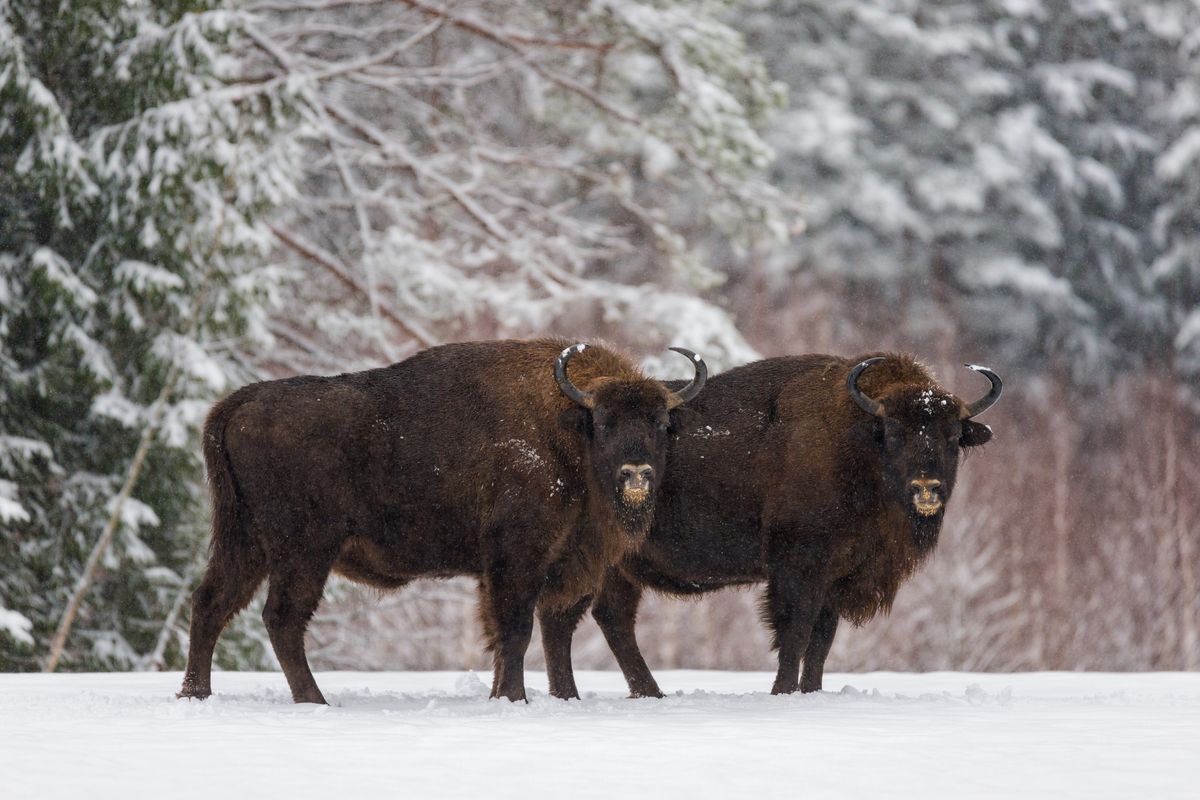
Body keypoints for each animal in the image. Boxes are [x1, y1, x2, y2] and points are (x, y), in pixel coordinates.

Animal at [176, 338, 700, 700]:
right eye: (605, 423)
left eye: (660, 424)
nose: (636, 473)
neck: (567, 427)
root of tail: (236, 405)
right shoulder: (516, 557)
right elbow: (515, 630)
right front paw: (513, 699)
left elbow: (521, 633)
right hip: (303, 551)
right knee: (281, 618)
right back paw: (314, 701)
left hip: (245, 543)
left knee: (211, 604)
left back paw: (195, 694)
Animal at [540, 352, 998, 695]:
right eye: (894, 432)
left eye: (952, 435)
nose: (927, 487)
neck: (854, 441)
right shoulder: (798, 567)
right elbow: (794, 632)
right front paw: (783, 692)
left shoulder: (835, 577)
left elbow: (821, 640)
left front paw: (811, 691)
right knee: (565, 618)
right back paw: (576, 695)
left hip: (618, 569)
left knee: (609, 619)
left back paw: (647, 693)